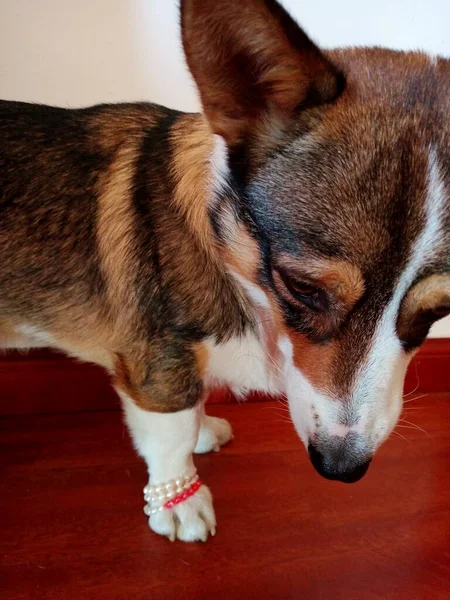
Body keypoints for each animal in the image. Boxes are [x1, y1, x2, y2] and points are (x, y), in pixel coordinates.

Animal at [0, 0, 448, 540]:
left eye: (441, 310)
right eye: (303, 287)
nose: (341, 468)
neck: (228, 251)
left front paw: (202, 430)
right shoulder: (157, 365)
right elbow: (170, 432)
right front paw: (178, 501)